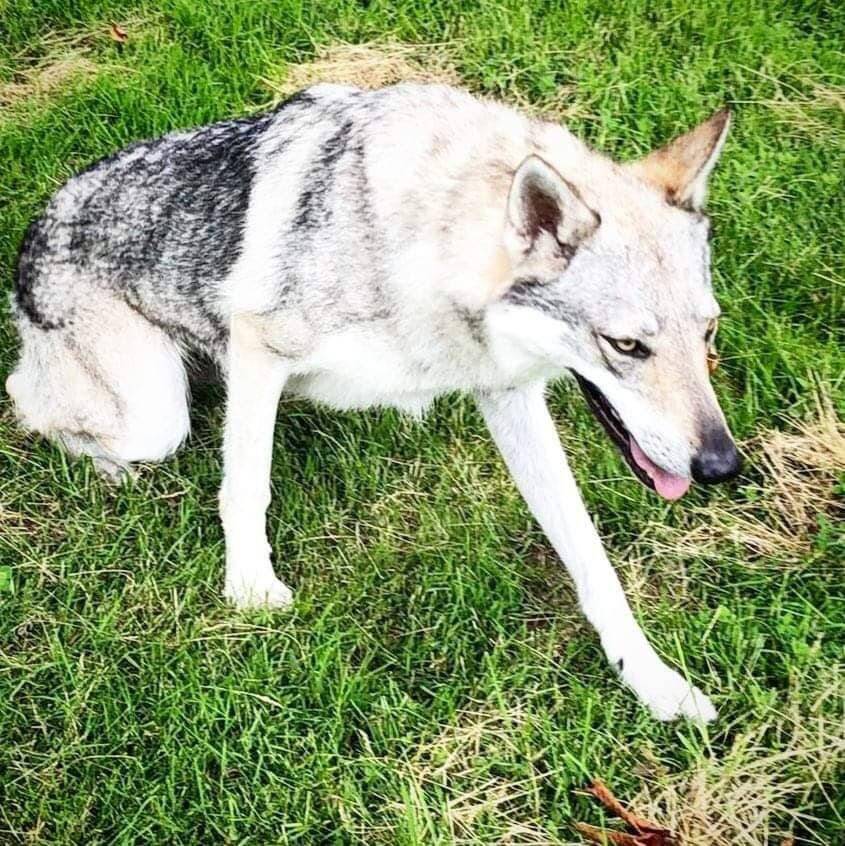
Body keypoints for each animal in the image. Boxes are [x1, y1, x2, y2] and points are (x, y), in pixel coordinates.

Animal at [6, 83, 741, 721]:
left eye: (708, 332)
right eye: (627, 345)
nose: (722, 467)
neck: (419, 240)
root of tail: (34, 229)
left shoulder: (507, 395)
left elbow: (591, 560)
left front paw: (651, 680)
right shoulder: (259, 349)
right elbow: (245, 488)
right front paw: (249, 589)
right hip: (153, 417)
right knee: (26, 398)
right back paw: (110, 468)